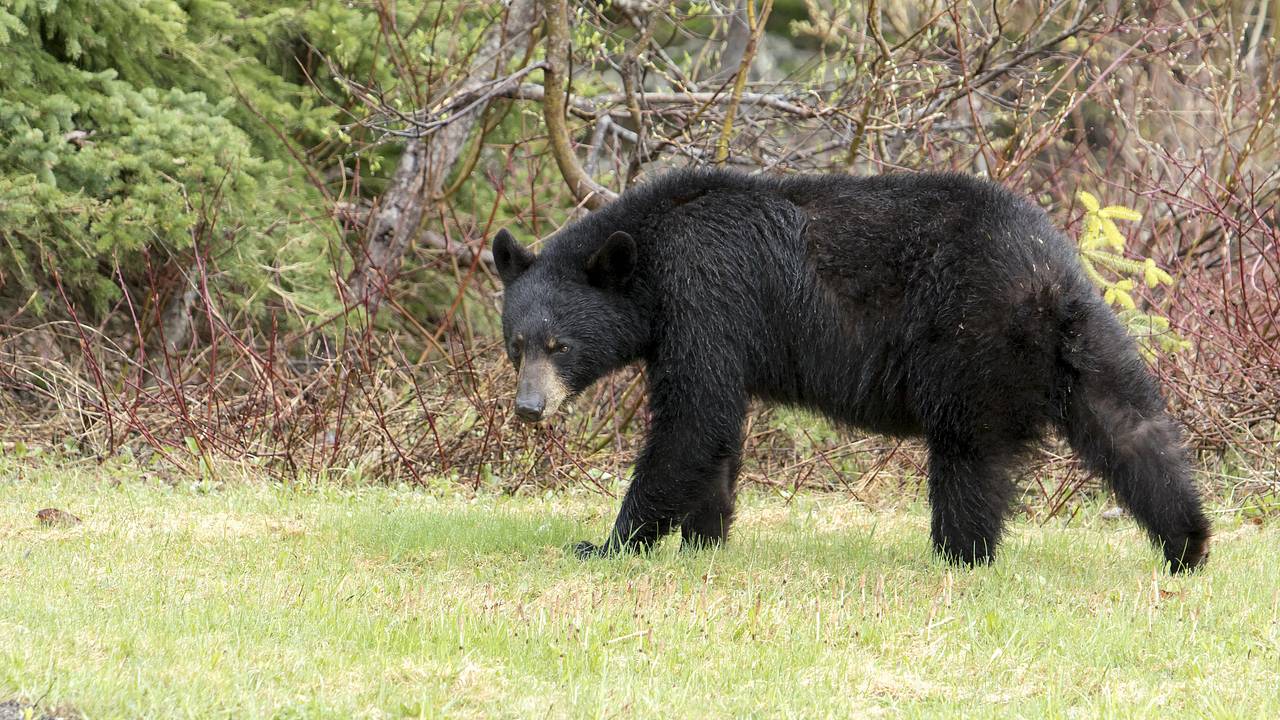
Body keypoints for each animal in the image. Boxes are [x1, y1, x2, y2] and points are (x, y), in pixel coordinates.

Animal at [491, 168, 1210, 573]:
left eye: (558, 345)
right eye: (515, 344)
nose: (528, 409)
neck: (655, 252)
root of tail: (1049, 274)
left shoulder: (708, 295)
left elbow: (692, 422)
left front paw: (610, 543)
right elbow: (715, 433)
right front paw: (704, 537)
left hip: (967, 344)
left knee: (967, 457)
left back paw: (959, 555)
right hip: (1085, 345)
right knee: (1132, 429)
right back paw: (1188, 544)